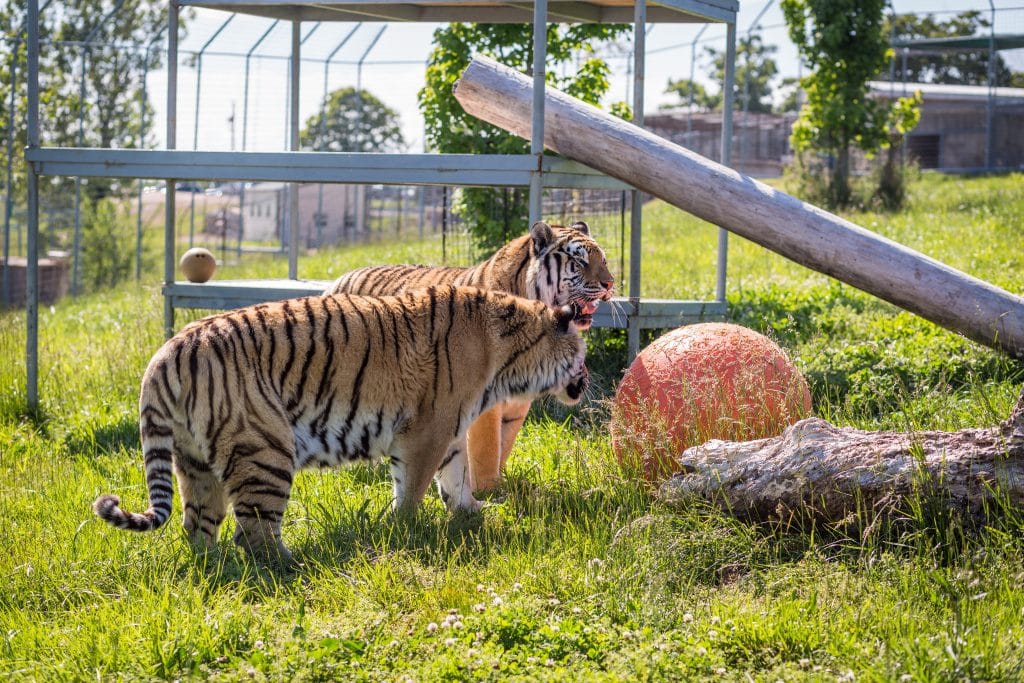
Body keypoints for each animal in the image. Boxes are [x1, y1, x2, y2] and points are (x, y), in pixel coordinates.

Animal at [96, 286, 593, 565]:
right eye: (583, 354)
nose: (587, 379)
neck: (509, 354)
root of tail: (167, 353)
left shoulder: (450, 429)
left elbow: (457, 476)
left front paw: (470, 512)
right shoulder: (427, 430)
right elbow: (414, 487)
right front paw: (404, 529)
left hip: (196, 463)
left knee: (199, 528)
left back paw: (215, 567)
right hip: (266, 448)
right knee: (253, 531)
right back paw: (294, 565)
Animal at [331, 220, 610, 491]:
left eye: (603, 260)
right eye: (581, 262)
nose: (610, 283)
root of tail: (339, 279)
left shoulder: (517, 406)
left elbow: (504, 445)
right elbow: (487, 448)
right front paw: (488, 490)